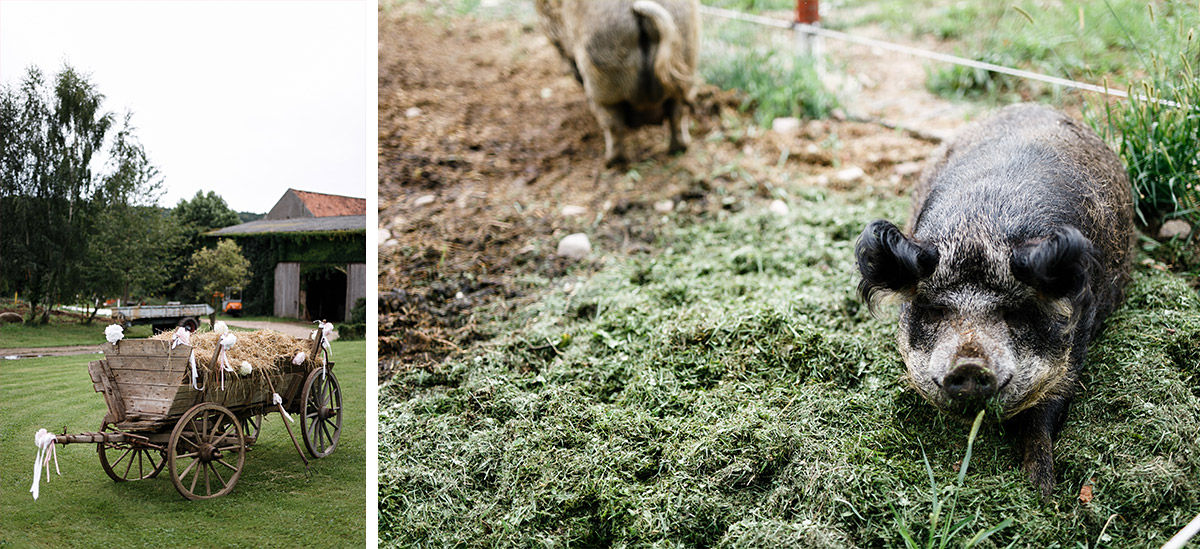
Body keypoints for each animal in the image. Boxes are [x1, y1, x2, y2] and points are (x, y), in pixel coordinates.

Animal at [859, 103, 1128, 498]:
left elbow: (1045, 414)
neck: (980, 230)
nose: (970, 364)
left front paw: (1041, 490)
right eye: (937, 310)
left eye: (1013, 313)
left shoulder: (1076, 340)